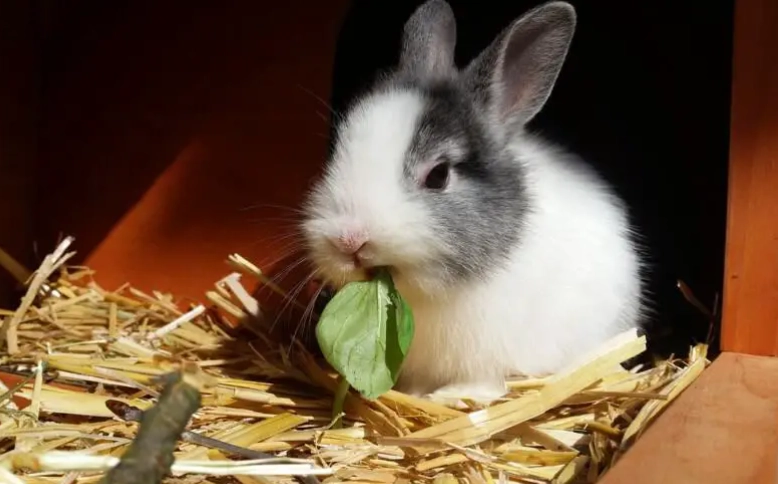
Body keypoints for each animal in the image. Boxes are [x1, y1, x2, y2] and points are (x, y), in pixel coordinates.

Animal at [300, 0, 646, 405]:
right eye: (337, 152)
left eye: (438, 175)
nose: (349, 241)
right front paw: (417, 394)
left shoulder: (490, 358)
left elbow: (484, 384)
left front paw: (447, 398)